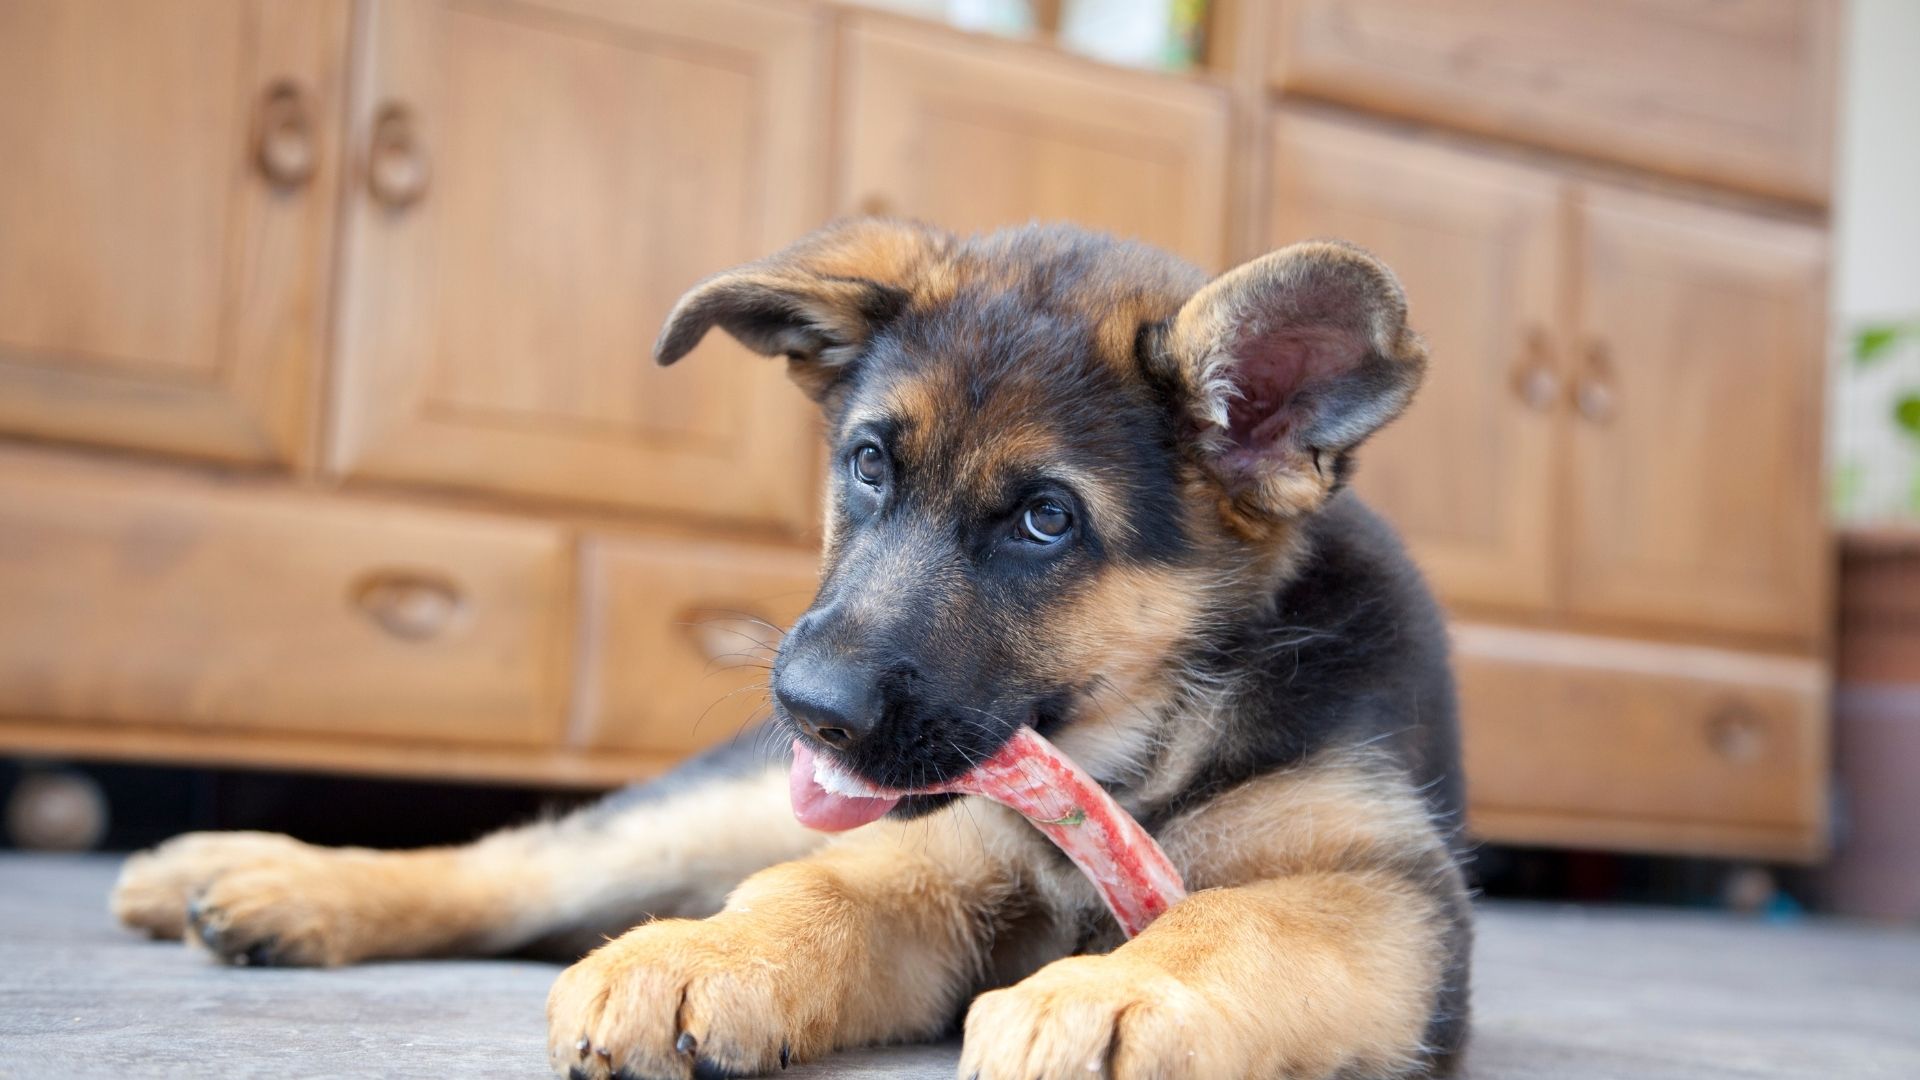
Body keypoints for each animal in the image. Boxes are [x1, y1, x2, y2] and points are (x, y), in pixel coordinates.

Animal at [116, 219, 1466, 1076]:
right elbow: (814, 890)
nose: (808, 710)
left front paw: (1114, 990)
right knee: (524, 867)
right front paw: (709, 953)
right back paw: (258, 878)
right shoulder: (936, 858)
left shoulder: (1390, 895)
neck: (1145, 743)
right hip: (721, 813)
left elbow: (1240, 922)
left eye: (1046, 520)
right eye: (869, 464)